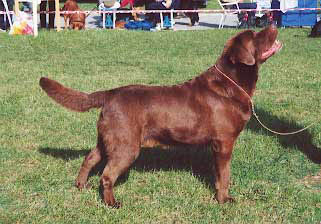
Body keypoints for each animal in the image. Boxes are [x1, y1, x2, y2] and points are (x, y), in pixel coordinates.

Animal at [39, 25, 280, 207]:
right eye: (255, 36)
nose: (272, 23)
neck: (231, 83)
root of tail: (111, 93)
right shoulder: (224, 142)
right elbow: (224, 175)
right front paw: (224, 199)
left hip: (110, 137)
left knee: (90, 158)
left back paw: (81, 185)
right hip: (127, 145)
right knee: (106, 175)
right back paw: (112, 203)